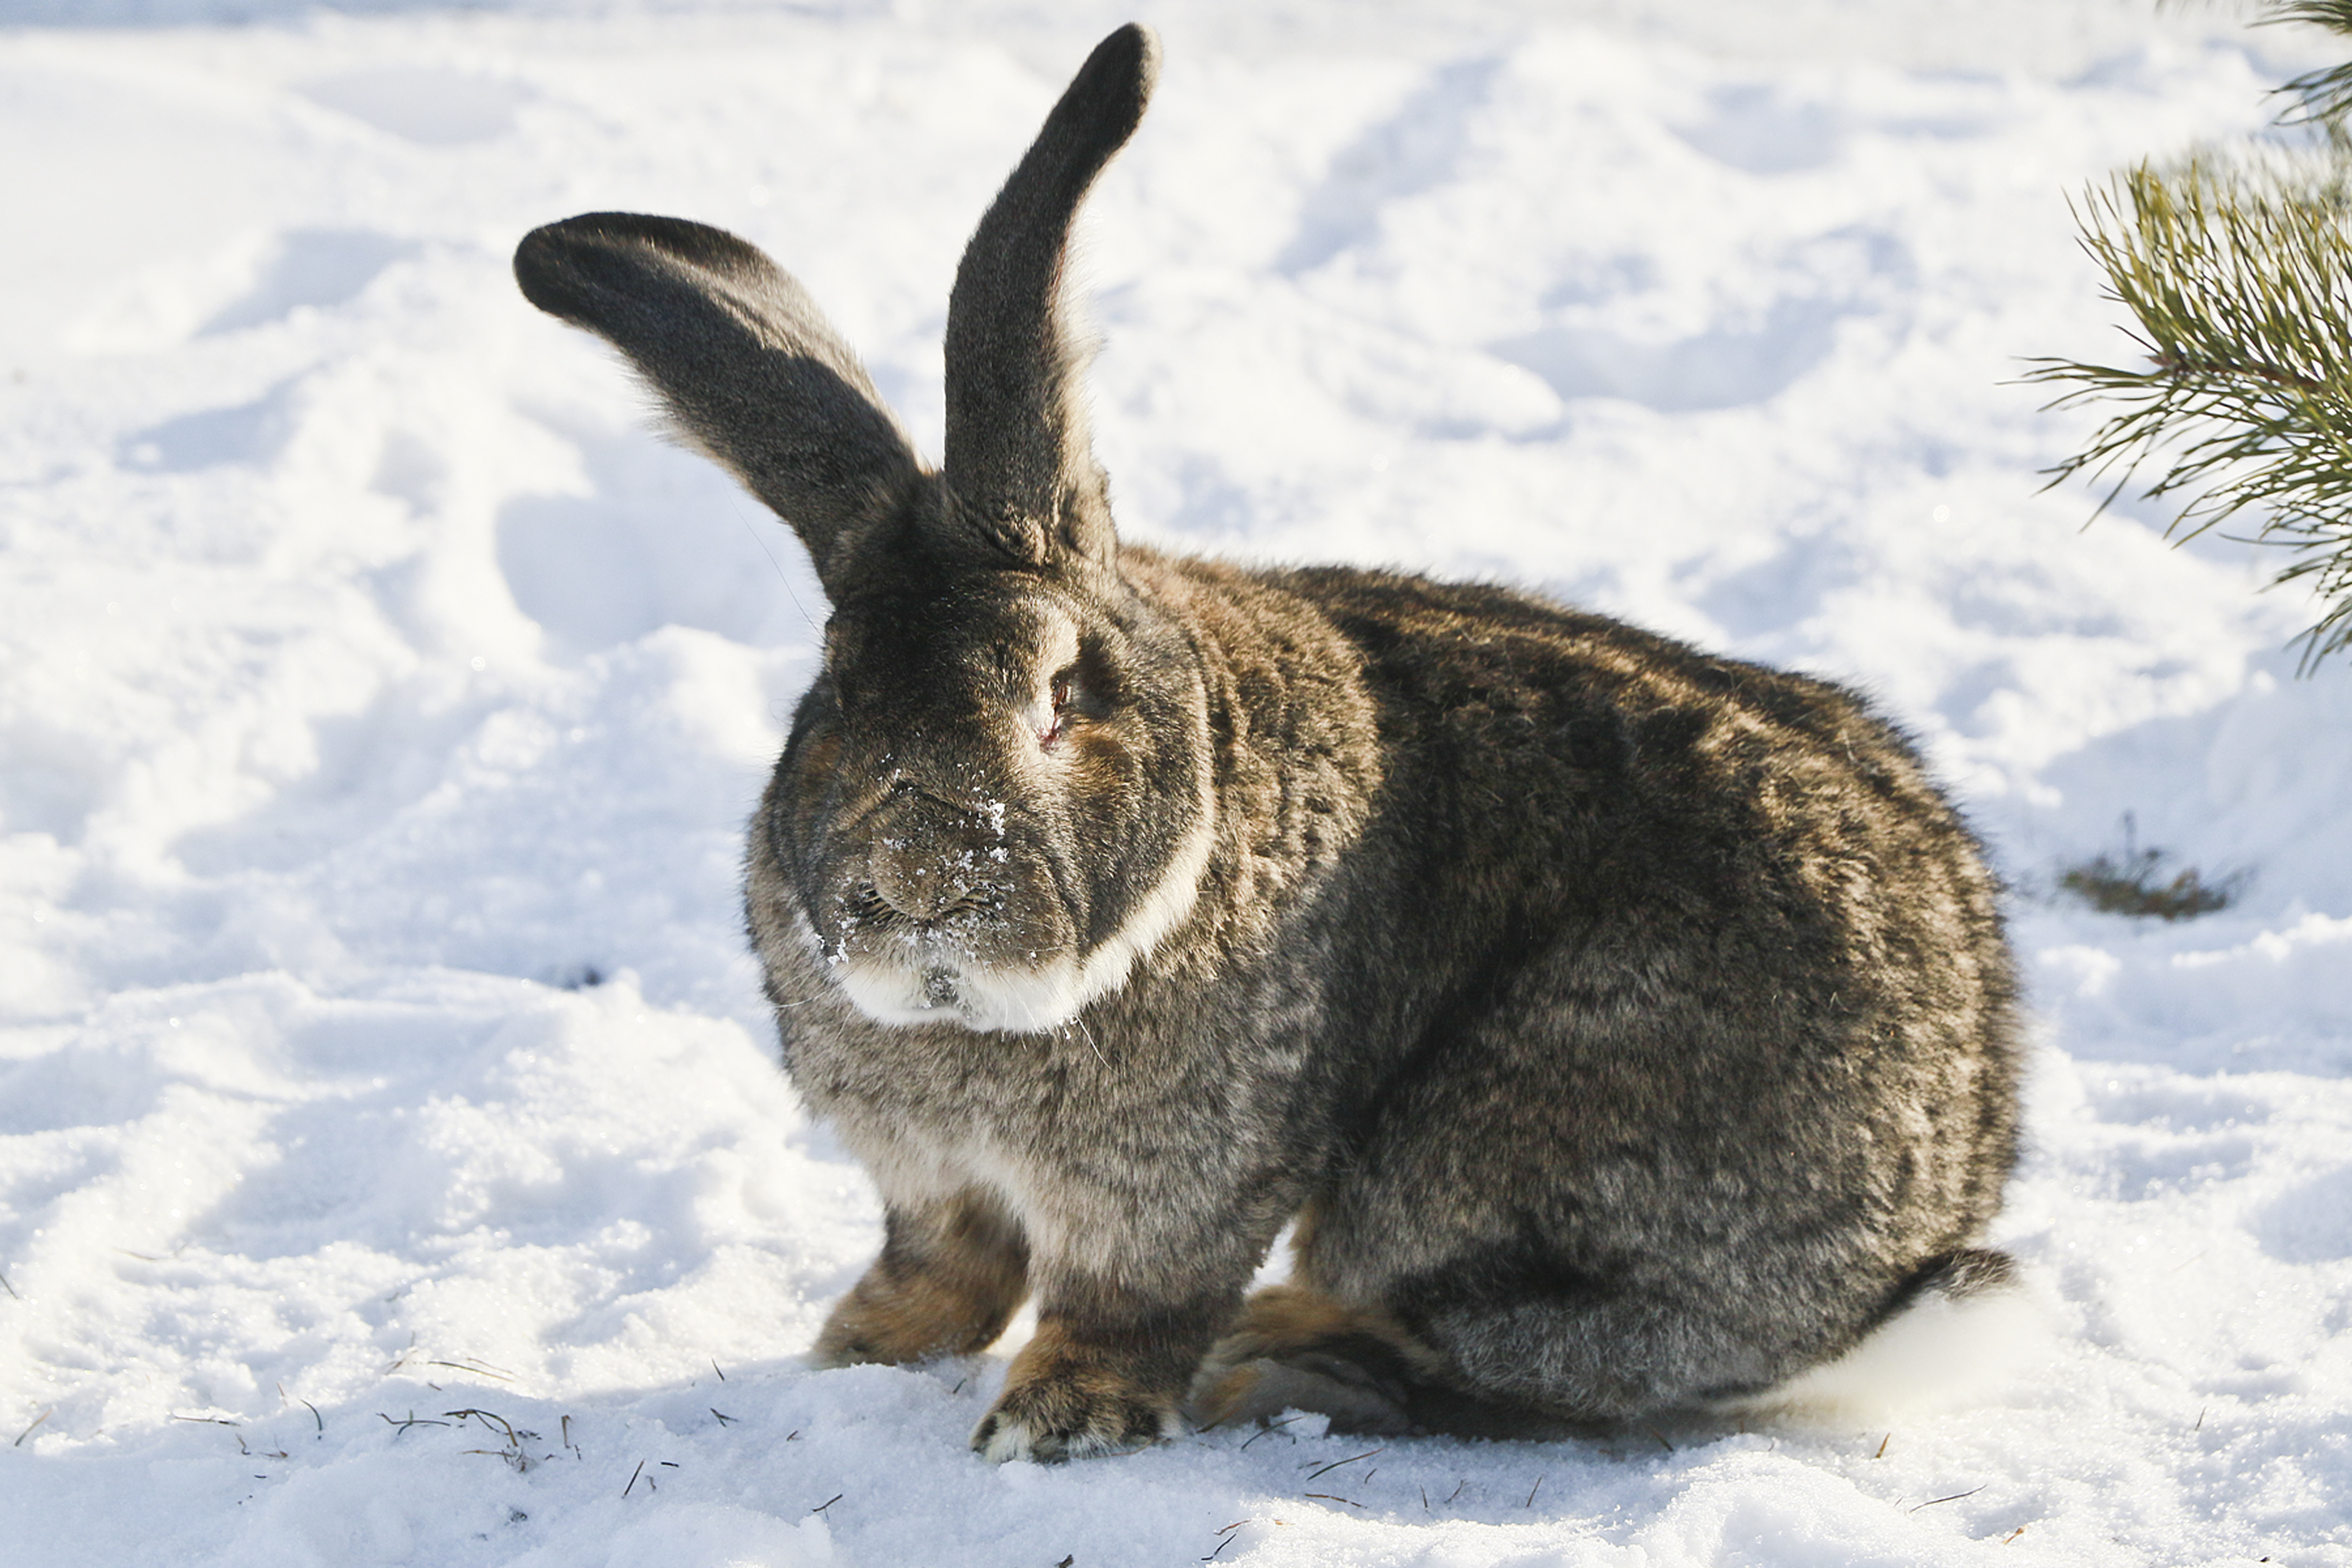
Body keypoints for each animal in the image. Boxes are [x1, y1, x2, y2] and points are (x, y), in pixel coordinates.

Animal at [515, 24, 2023, 1467]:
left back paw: (1299, 1354)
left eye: (1060, 691)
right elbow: (945, 1267)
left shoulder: (1182, 1183)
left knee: (1558, 1354)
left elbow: (1125, 1303)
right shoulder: (929, 1178)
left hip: (1505, 1140)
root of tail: (1922, 1240)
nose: (921, 882)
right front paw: (855, 1356)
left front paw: (1056, 1423)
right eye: (834, 685)